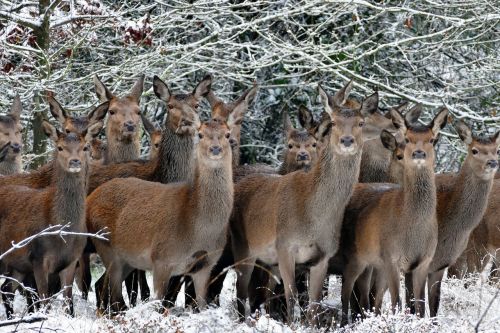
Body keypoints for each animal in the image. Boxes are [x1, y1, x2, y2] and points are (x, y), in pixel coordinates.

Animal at [0, 111, 106, 316]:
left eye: (84, 146)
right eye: (60, 147)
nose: (75, 161)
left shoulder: (71, 260)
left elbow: (68, 304)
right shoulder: (38, 258)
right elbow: (44, 301)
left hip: (16, 263)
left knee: (6, 289)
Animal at [86, 120, 234, 314]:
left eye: (227, 134)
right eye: (200, 134)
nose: (215, 148)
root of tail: (90, 200)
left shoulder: (206, 265)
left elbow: (201, 305)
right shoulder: (161, 258)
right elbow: (158, 305)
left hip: (127, 259)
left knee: (101, 284)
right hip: (105, 244)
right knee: (116, 294)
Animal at [230, 84, 378, 322]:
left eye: (361, 123)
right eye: (333, 122)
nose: (347, 140)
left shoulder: (322, 257)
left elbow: (313, 303)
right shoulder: (285, 247)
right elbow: (291, 299)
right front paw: (292, 324)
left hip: (268, 262)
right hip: (243, 246)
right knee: (241, 291)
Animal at [338, 106, 448, 324]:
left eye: (432, 139)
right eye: (407, 138)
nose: (419, 153)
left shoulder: (423, 262)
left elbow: (419, 306)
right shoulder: (391, 257)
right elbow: (397, 303)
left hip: (373, 264)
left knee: (369, 294)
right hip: (355, 256)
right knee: (347, 290)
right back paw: (344, 321)